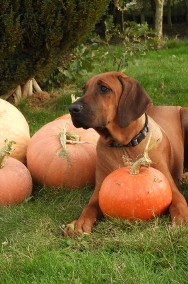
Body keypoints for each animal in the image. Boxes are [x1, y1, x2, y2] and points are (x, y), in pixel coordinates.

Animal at [65, 72, 188, 236]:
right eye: (84, 90)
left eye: (103, 88)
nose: (72, 108)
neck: (124, 145)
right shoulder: (99, 191)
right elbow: (89, 207)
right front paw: (79, 222)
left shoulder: (170, 188)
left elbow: (179, 203)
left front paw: (183, 219)